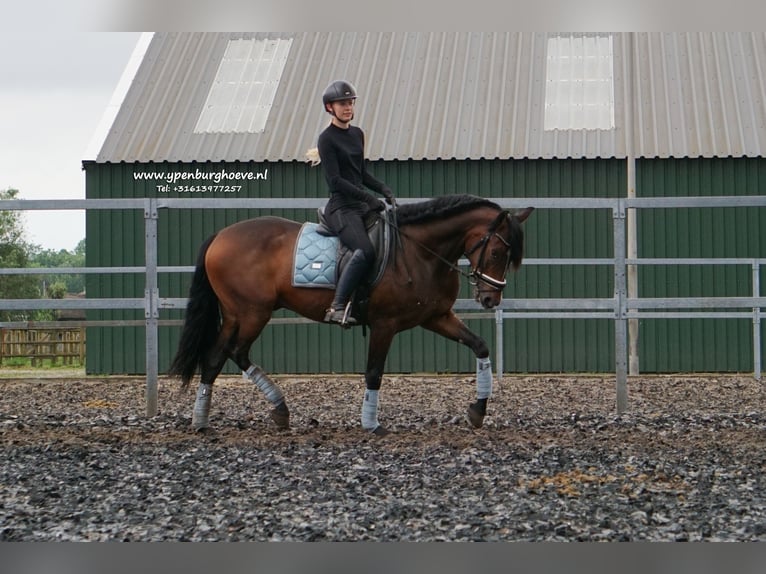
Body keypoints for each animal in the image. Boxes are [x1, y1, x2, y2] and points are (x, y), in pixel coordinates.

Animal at [170, 195, 536, 436]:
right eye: (497, 251)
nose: (490, 298)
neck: (419, 252)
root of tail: (221, 235)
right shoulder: (385, 325)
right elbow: (374, 372)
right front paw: (371, 423)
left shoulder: (437, 317)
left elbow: (480, 346)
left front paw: (477, 411)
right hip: (251, 313)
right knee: (235, 352)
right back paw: (275, 409)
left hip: (236, 315)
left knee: (215, 358)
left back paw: (204, 420)